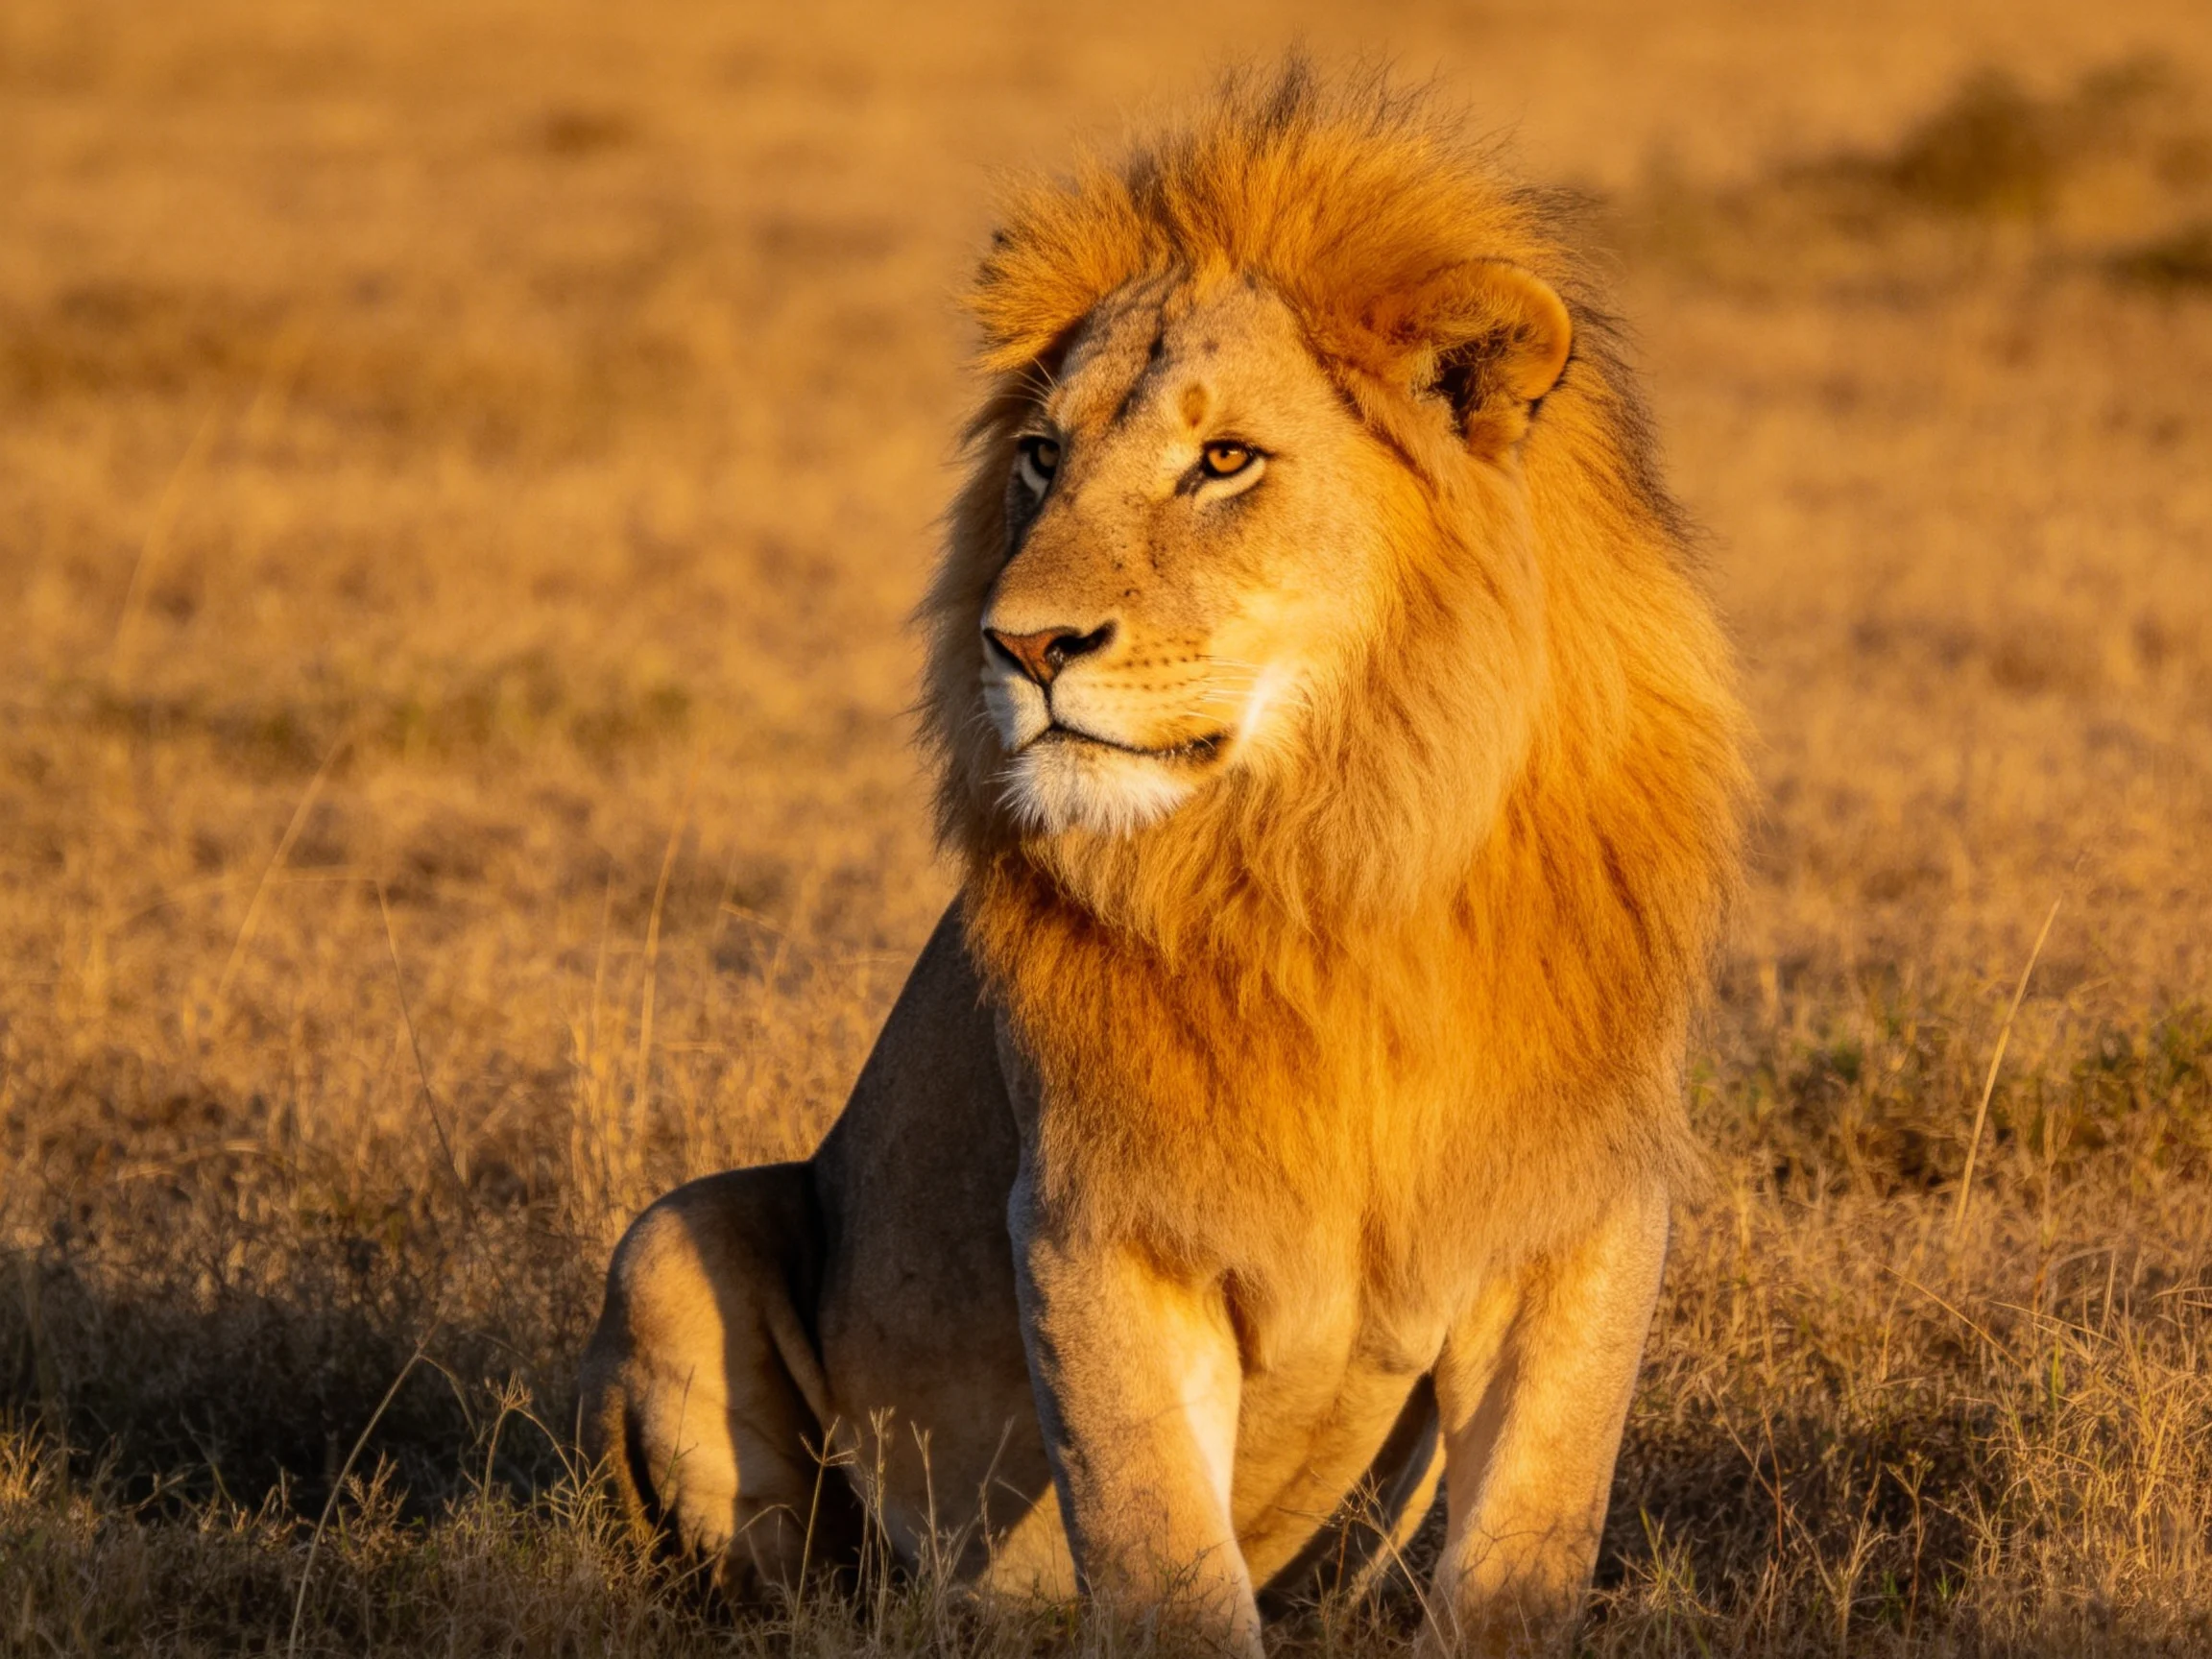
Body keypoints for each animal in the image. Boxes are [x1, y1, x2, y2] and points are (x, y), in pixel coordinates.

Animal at [580, 61, 1746, 1656]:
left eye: (1224, 460)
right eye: (1042, 457)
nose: (1020, 644)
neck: (1333, 857)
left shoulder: (1577, 1216)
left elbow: (1527, 1552)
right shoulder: (1097, 1227)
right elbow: (1164, 1565)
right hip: (667, 1238)